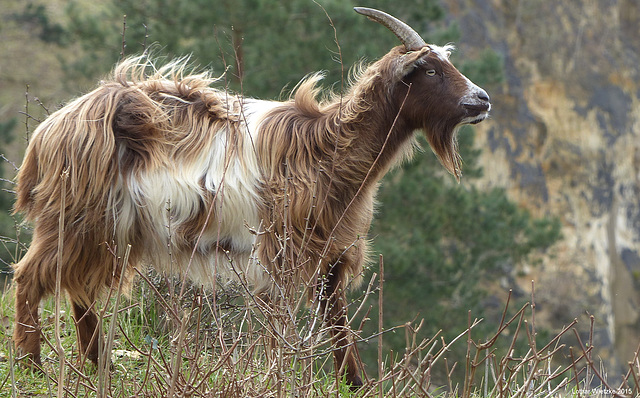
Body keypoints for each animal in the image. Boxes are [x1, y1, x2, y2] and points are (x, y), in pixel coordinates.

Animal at [11, 6, 490, 386]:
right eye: (430, 71)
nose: (482, 99)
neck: (324, 149)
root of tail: (50, 130)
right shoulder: (280, 253)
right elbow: (280, 325)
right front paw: (278, 376)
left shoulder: (329, 254)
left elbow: (338, 323)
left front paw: (356, 384)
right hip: (77, 218)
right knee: (30, 278)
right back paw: (31, 368)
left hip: (107, 231)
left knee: (78, 288)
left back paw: (100, 368)